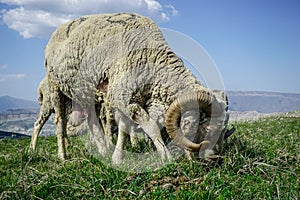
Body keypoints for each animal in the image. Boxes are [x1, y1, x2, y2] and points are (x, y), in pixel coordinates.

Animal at [44, 12, 232, 162]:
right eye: (208, 128)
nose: (216, 158)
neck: (152, 58)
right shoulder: (123, 98)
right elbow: (152, 128)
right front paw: (165, 157)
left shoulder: (126, 100)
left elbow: (124, 128)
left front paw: (117, 158)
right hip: (55, 88)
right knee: (60, 123)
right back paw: (63, 156)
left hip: (86, 93)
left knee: (92, 121)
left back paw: (103, 151)